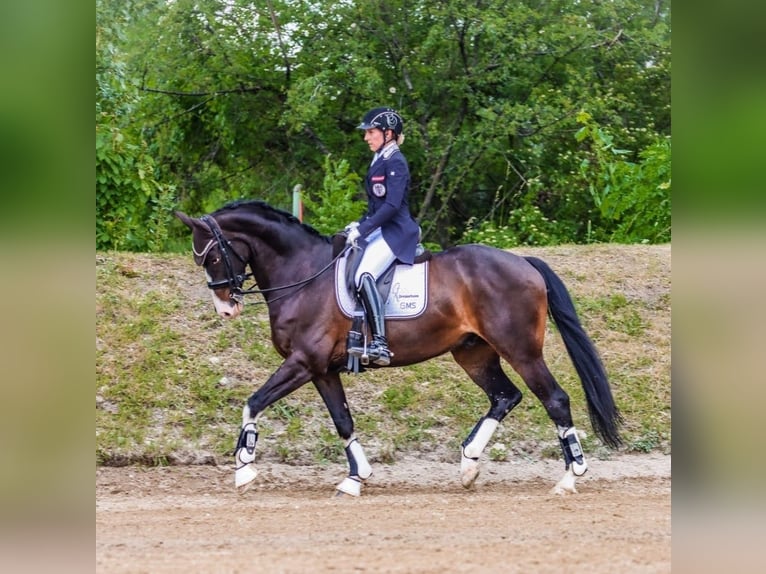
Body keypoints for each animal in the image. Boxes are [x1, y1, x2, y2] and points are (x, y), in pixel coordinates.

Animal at [178, 200, 624, 498]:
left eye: (212, 256)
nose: (226, 308)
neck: (303, 274)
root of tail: (525, 263)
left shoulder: (303, 362)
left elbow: (253, 402)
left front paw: (244, 468)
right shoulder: (322, 369)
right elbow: (343, 420)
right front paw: (355, 478)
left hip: (521, 351)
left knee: (555, 399)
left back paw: (569, 478)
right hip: (473, 352)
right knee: (504, 396)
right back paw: (468, 465)